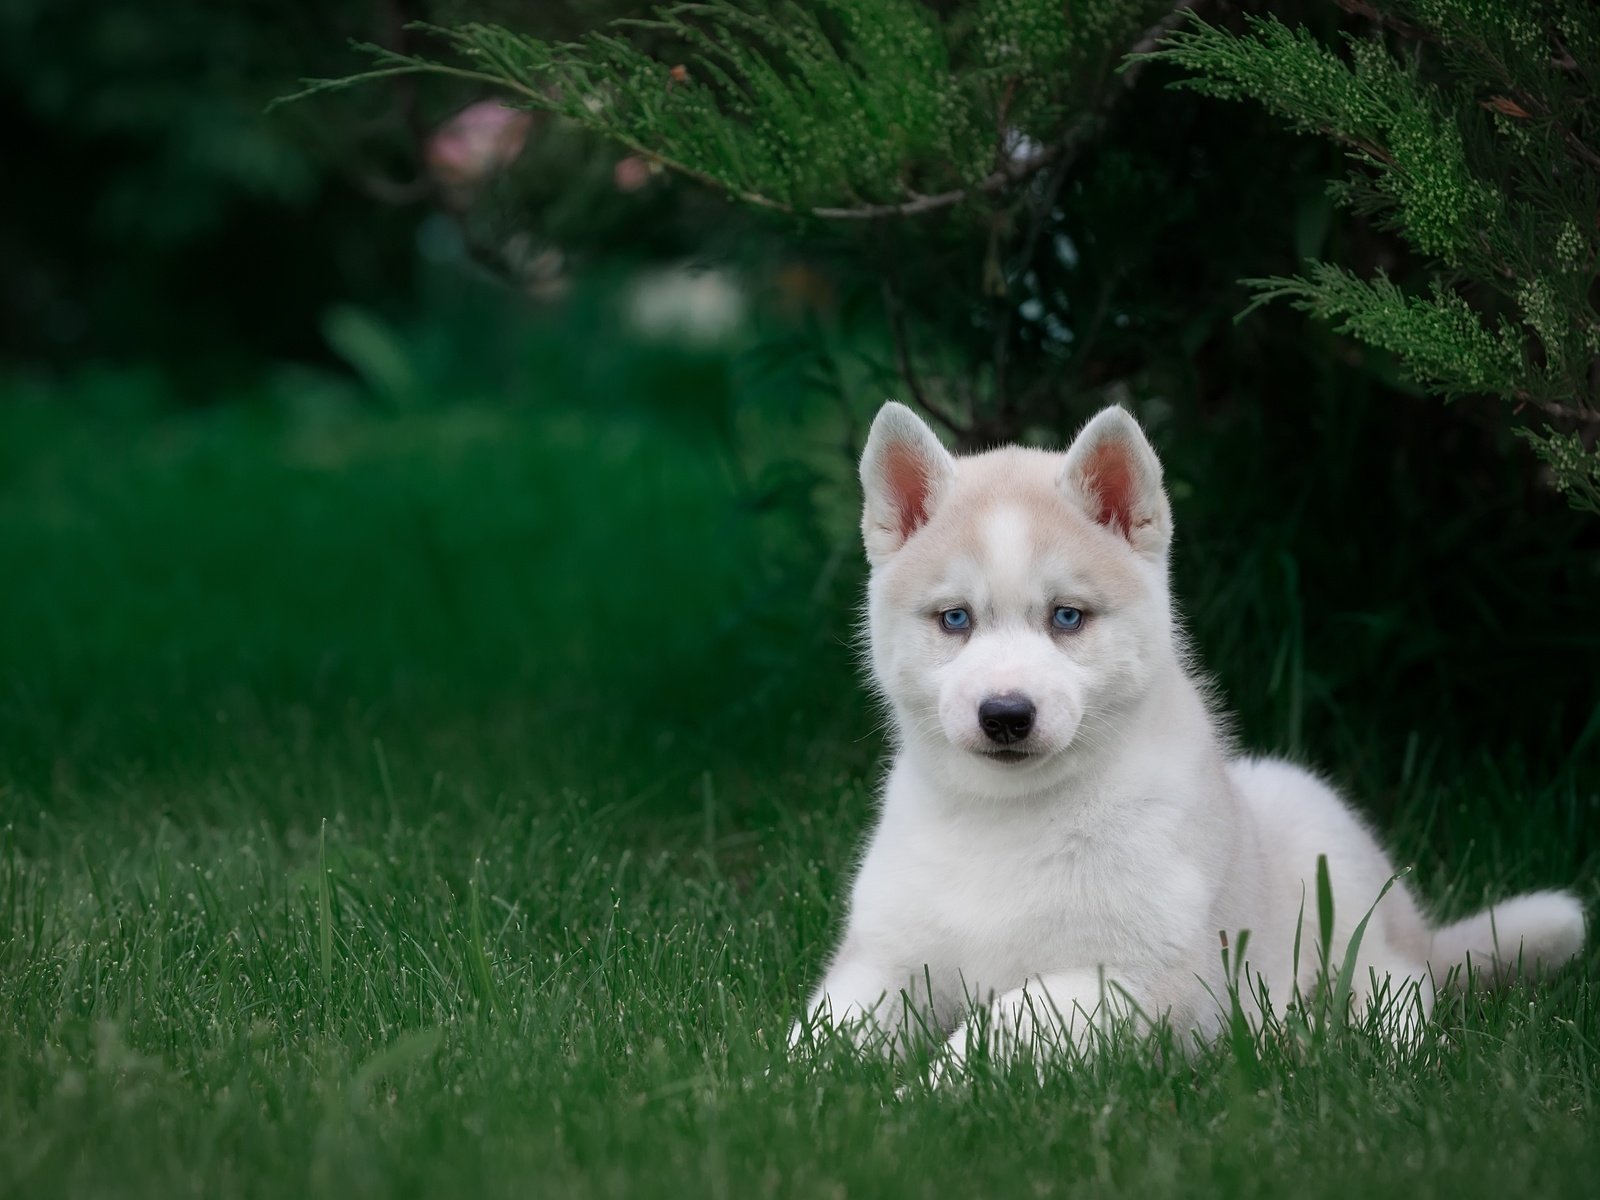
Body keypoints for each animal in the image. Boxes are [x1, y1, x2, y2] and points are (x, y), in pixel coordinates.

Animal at [800, 404, 1587, 1068]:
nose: (1005, 713)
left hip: (1324, 850)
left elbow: (998, 1030)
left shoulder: (1131, 978)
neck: (1008, 818)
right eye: (955, 619)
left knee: (1397, 990)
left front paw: (923, 1094)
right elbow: (814, 1036)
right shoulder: (883, 959)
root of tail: (1416, 928)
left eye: (1066, 617)